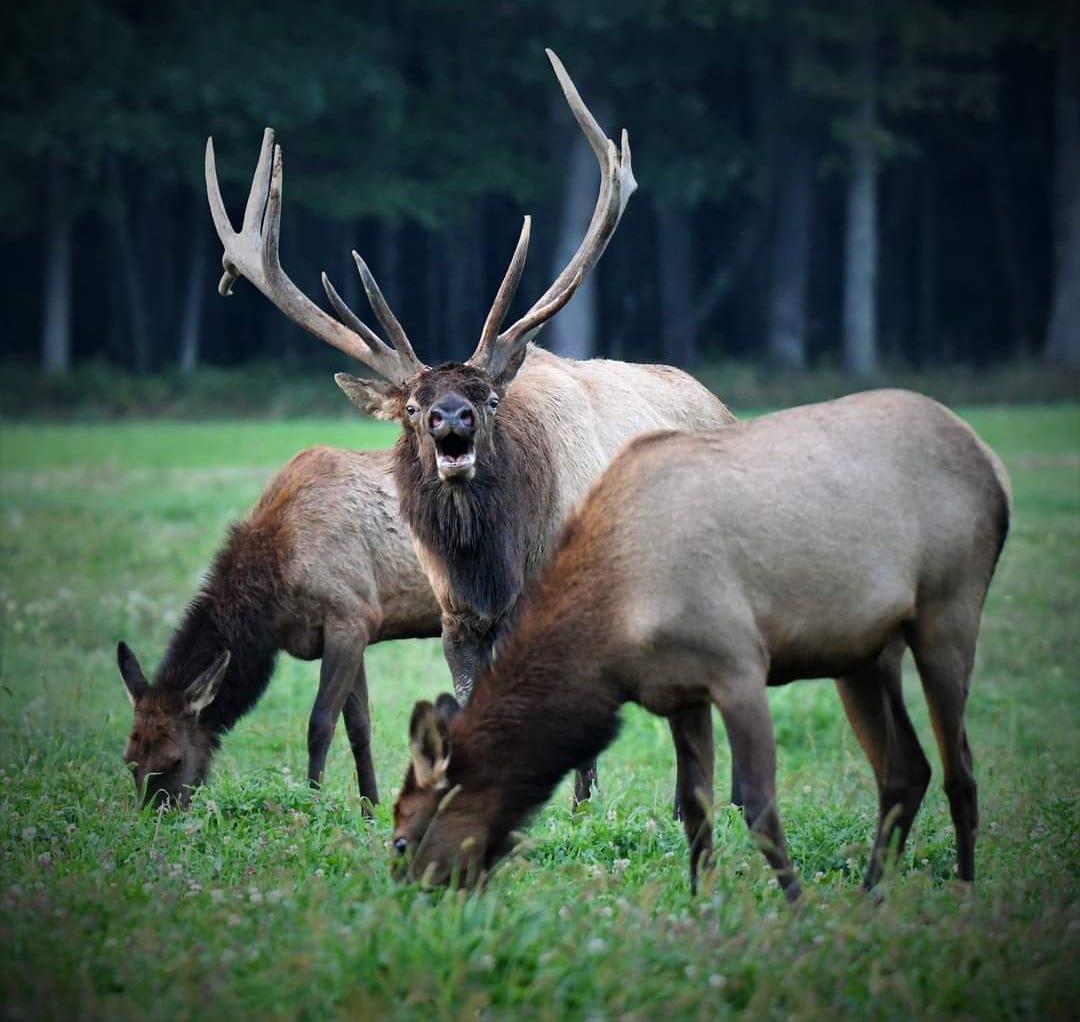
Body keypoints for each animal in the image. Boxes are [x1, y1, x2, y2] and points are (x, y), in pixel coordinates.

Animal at [117, 445, 441, 810]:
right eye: (129, 760)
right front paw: (370, 809)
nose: (157, 815)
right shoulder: (356, 628)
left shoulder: (348, 618)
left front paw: (313, 801)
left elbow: (320, 724)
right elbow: (359, 728)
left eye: (175, 759)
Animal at [204, 49, 736, 807]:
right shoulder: (455, 617)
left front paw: (575, 810)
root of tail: (719, 403)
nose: (447, 415)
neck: (496, 563)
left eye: (485, 398)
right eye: (409, 404)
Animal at [389, 390, 1012, 900]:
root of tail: (992, 464)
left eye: (401, 836)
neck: (619, 619)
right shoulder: (678, 692)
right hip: (864, 654)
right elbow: (696, 807)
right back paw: (870, 896)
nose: (409, 894)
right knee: (906, 770)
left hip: (948, 611)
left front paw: (797, 906)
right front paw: (702, 901)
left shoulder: (739, 667)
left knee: (960, 769)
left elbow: (755, 801)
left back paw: (964, 890)